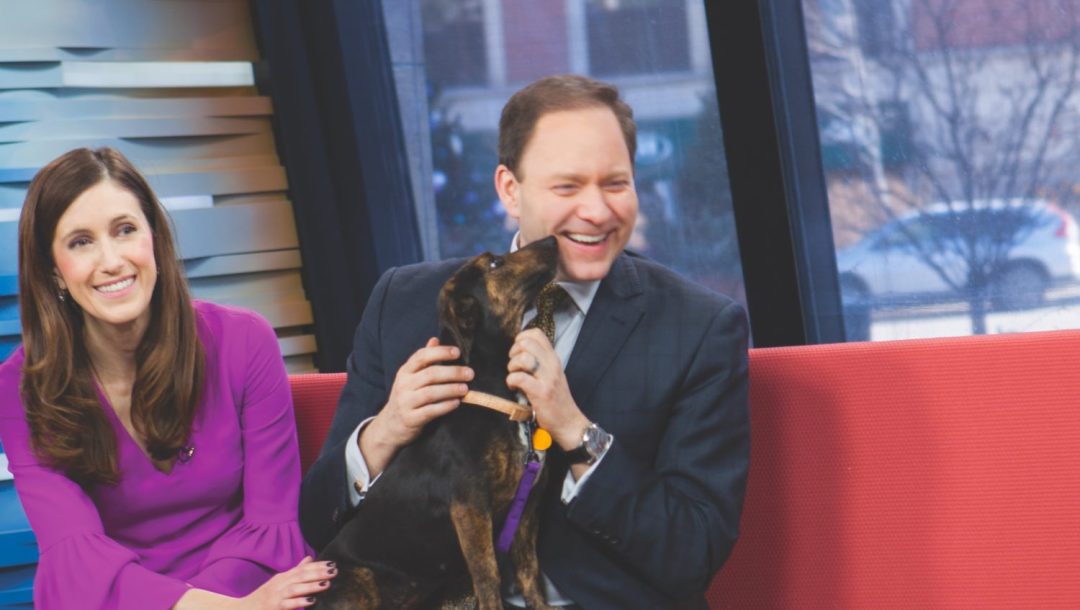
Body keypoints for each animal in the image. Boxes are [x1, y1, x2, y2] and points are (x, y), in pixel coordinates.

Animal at [315, 234, 561, 608]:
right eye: (494, 263)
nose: (552, 239)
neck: (494, 396)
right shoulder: (470, 507)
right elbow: (488, 578)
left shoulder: (525, 508)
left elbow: (530, 576)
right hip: (358, 584)